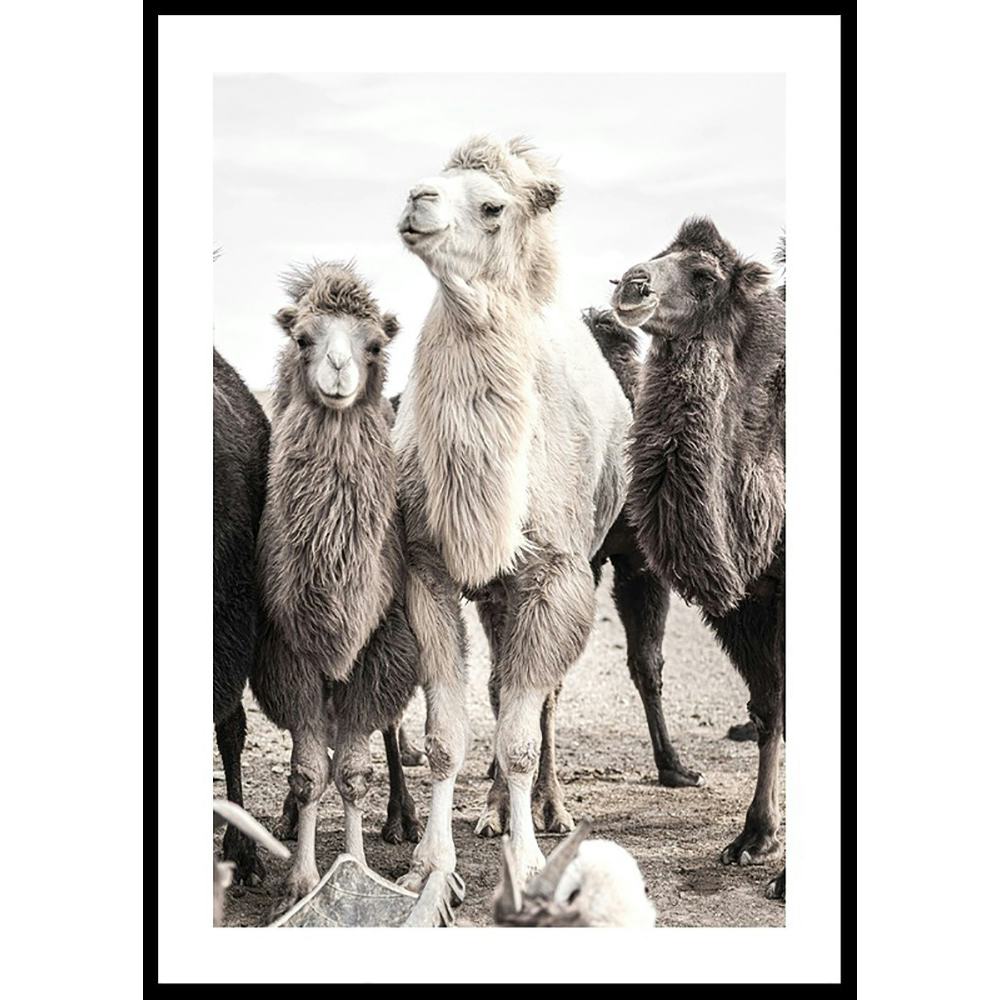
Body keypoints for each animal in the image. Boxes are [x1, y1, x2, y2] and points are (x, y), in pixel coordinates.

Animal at [250, 261, 424, 916]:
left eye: (374, 344)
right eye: (304, 338)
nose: (339, 370)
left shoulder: (380, 646)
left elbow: (351, 773)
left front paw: (355, 869)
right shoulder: (286, 651)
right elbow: (308, 773)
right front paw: (299, 882)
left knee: (391, 733)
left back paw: (404, 818)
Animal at [392, 135, 641, 889]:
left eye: (492, 206)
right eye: (437, 180)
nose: (417, 198)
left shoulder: (555, 575)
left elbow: (527, 736)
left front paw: (529, 862)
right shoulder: (427, 569)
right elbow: (446, 736)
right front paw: (430, 864)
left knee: (541, 699)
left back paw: (548, 810)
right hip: (497, 593)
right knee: (502, 687)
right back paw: (492, 811)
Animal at [611, 217, 786, 900]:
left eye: (706, 276)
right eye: (662, 254)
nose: (632, 284)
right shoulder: (746, 602)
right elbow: (768, 707)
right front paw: (753, 838)